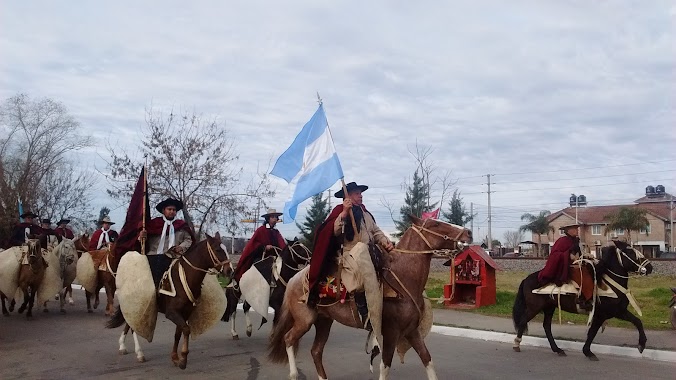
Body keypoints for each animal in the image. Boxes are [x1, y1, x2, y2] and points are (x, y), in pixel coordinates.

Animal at [105, 233, 232, 370]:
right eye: (217, 249)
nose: (229, 270)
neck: (185, 277)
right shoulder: (172, 313)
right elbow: (186, 329)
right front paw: (183, 359)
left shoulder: (184, 313)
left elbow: (178, 334)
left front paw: (175, 358)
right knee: (134, 326)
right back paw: (139, 353)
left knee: (130, 323)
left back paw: (123, 346)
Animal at [268, 217, 470, 380]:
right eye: (435, 224)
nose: (468, 233)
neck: (403, 278)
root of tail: (294, 278)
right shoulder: (391, 332)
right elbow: (385, 366)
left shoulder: (412, 331)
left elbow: (427, 359)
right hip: (305, 320)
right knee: (288, 339)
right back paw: (294, 374)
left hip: (324, 321)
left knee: (316, 351)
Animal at [512, 240, 656, 360]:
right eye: (631, 252)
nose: (649, 267)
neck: (611, 284)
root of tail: (527, 279)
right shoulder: (605, 314)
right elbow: (592, 332)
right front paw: (588, 352)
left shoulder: (618, 311)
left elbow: (637, 322)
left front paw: (642, 345)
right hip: (534, 308)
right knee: (523, 321)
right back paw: (517, 344)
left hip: (549, 308)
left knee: (546, 326)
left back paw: (557, 349)